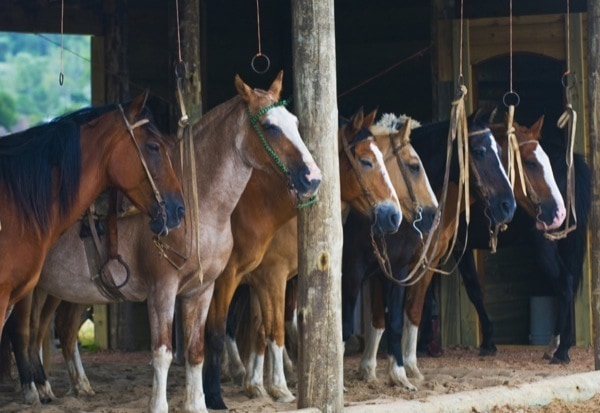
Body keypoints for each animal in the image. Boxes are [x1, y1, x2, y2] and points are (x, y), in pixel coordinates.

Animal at [452, 115, 588, 360]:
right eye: (531, 163)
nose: (558, 210)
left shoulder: (458, 247)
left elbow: (474, 290)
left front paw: (488, 342)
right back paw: (560, 343)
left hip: (545, 244)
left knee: (564, 281)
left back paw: (560, 349)